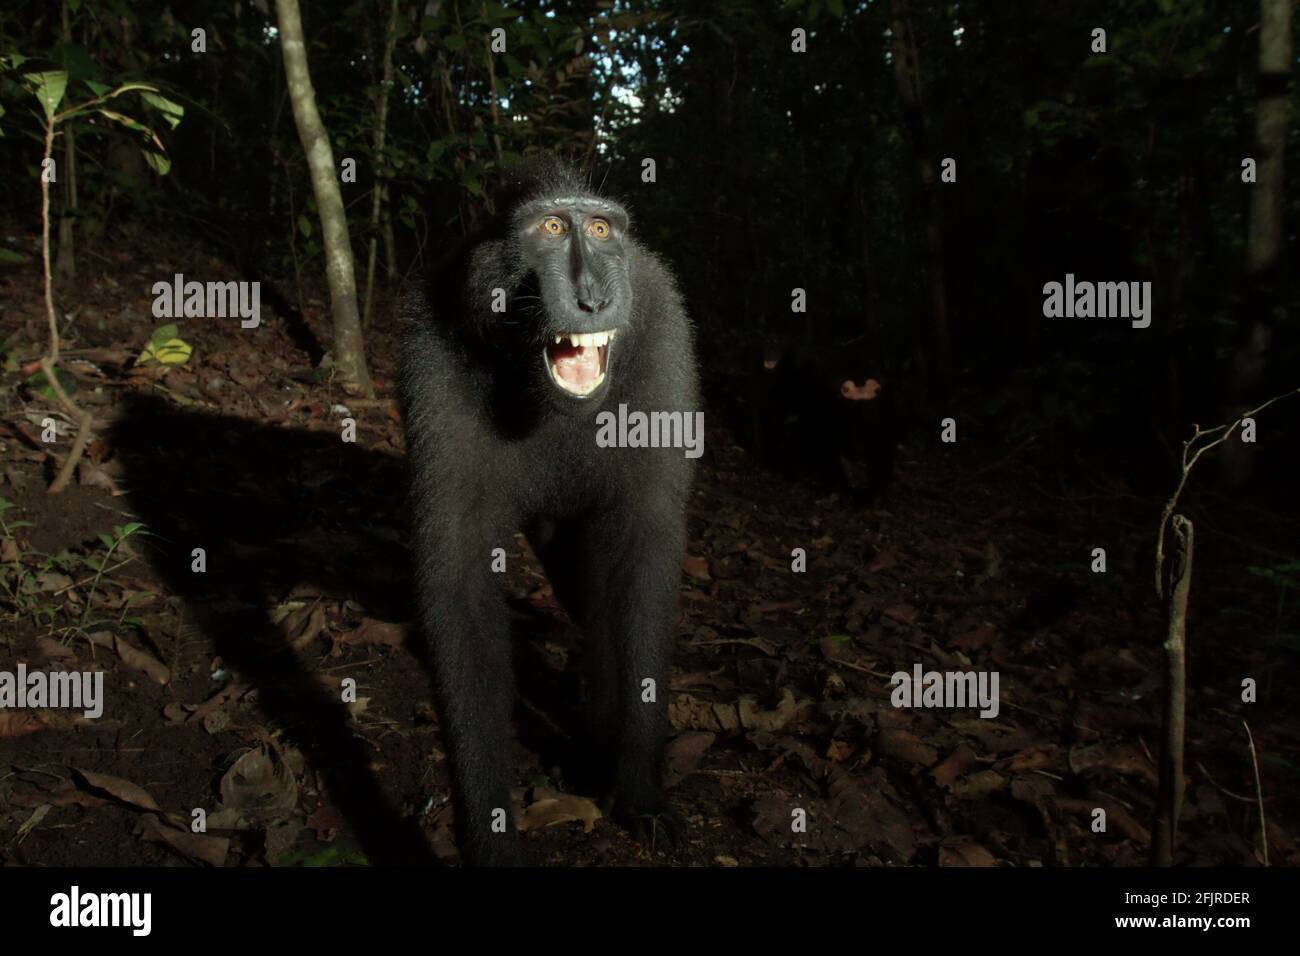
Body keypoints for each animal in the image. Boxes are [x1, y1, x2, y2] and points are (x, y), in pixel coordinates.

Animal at [398, 156, 698, 866]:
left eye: (601, 228)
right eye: (553, 227)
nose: (591, 298)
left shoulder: (664, 336)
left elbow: (643, 553)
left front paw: (639, 789)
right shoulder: (433, 348)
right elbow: (460, 582)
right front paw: (491, 836)